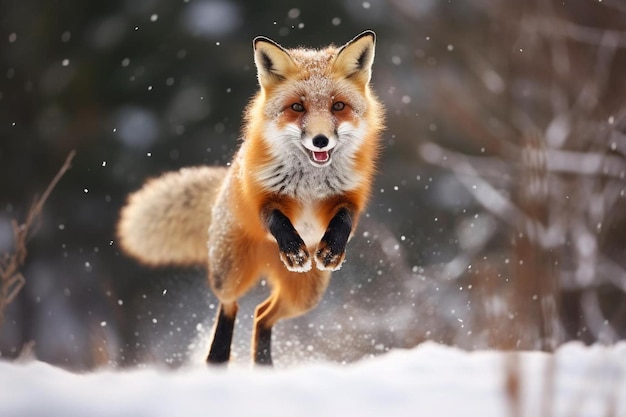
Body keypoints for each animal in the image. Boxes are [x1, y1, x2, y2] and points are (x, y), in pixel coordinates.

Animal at [115, 30, 382, 364]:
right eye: (297, 107)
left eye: (338, 106)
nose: (320, 140)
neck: (310, 180)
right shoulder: (261, 199)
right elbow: (278, 220)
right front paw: (293, 248)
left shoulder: (350, 198)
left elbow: (344, 219)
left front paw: (331, 249)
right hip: (231, 272)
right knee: (231, 304)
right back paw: (217, 357)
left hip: (305, 295)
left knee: (261, 314)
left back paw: (263, 365)